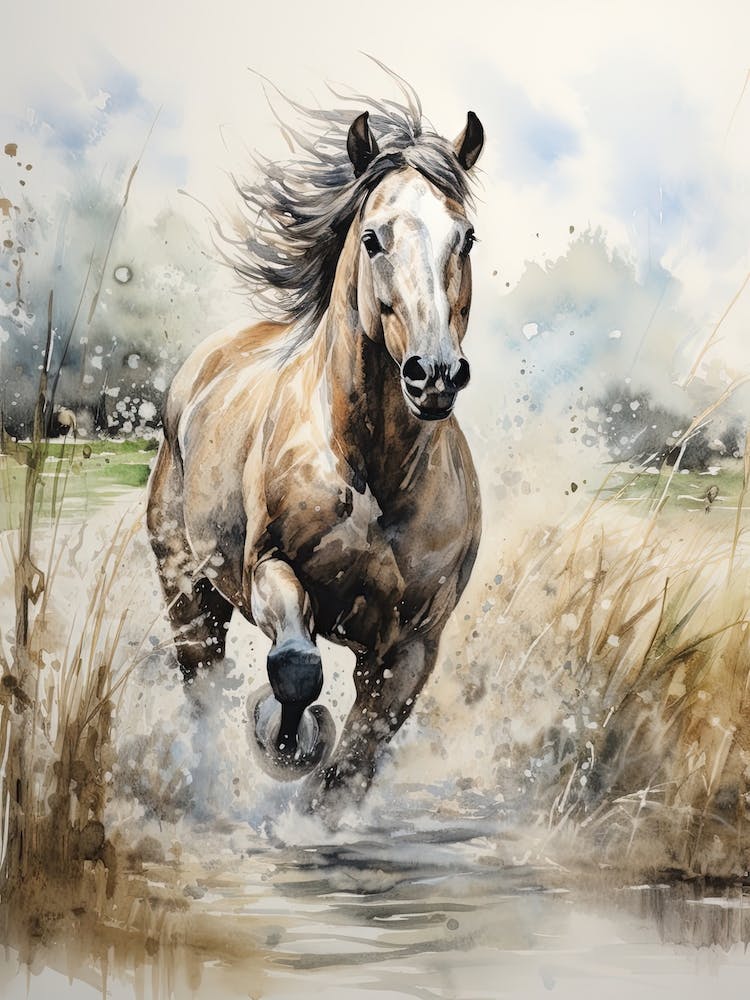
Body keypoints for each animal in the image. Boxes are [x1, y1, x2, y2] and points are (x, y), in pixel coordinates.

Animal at [146, 83, 484, 821]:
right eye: (373, 237)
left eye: (467, 237)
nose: (434, 375)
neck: (373, 472)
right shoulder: (269, 568)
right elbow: (296, 670)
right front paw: (283, 741)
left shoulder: (411, 645)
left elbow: (355, 761)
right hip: (188, 586)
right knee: (202, 683)